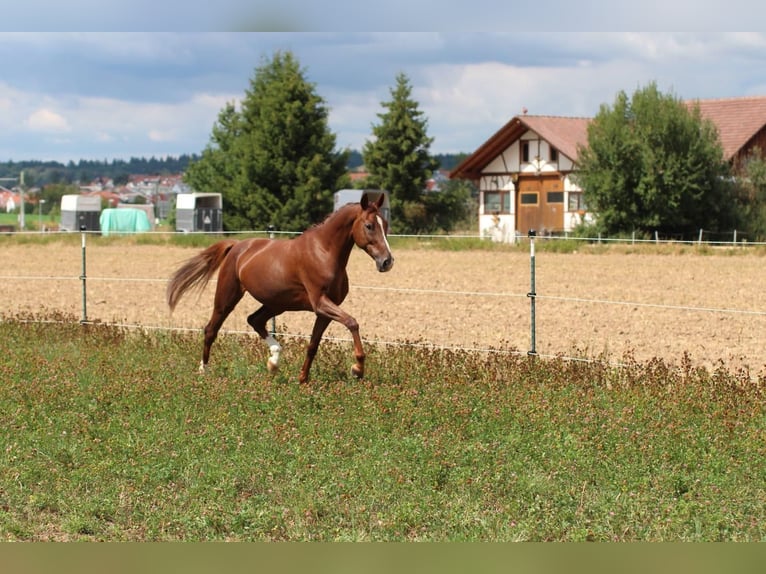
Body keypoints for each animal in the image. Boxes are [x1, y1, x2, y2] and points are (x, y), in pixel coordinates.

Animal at [166, 194, 394, 384]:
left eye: (385, 225)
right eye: (369, 226)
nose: (387, 262)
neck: (324, 252)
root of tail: (237, 246)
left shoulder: (324, 312)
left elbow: (313, 345)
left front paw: (302, 379)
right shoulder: (320, 303)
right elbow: (352, 322)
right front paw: (357, 369)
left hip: (277, 303)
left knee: (255, 320)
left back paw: (274, 361)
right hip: (227, 296)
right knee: (211, 329)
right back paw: (203, 370)